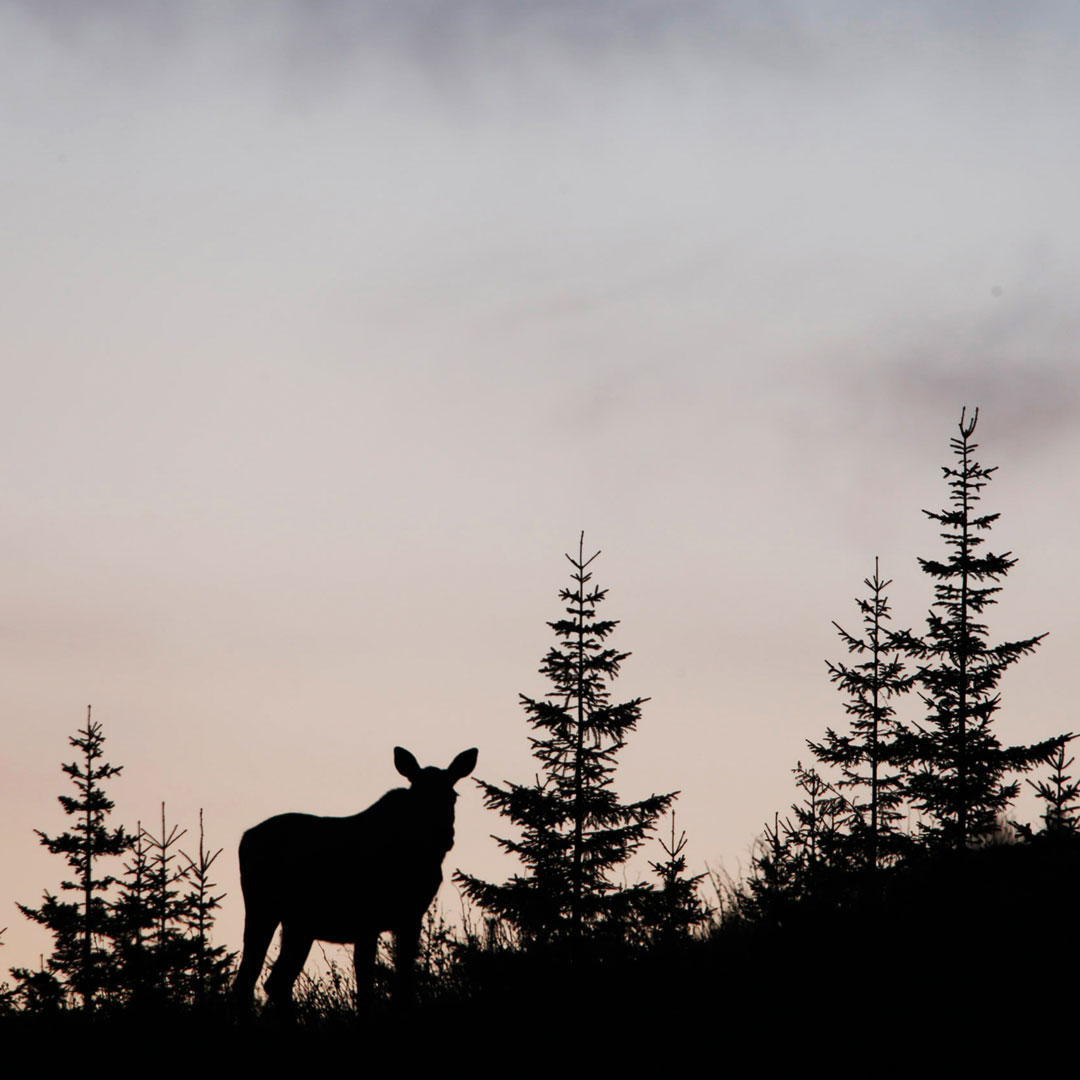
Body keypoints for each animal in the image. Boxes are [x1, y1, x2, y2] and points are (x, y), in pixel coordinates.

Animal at [236, 743, 477, 1002]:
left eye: (453, 796)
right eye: (418, 797)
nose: (444, 836)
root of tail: (244, 839)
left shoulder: (410, 916)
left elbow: (403, 978)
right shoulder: (368, 919)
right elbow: (365, 983)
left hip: (298, 923)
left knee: (275, 981)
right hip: (263, 909)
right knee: (248, 979)